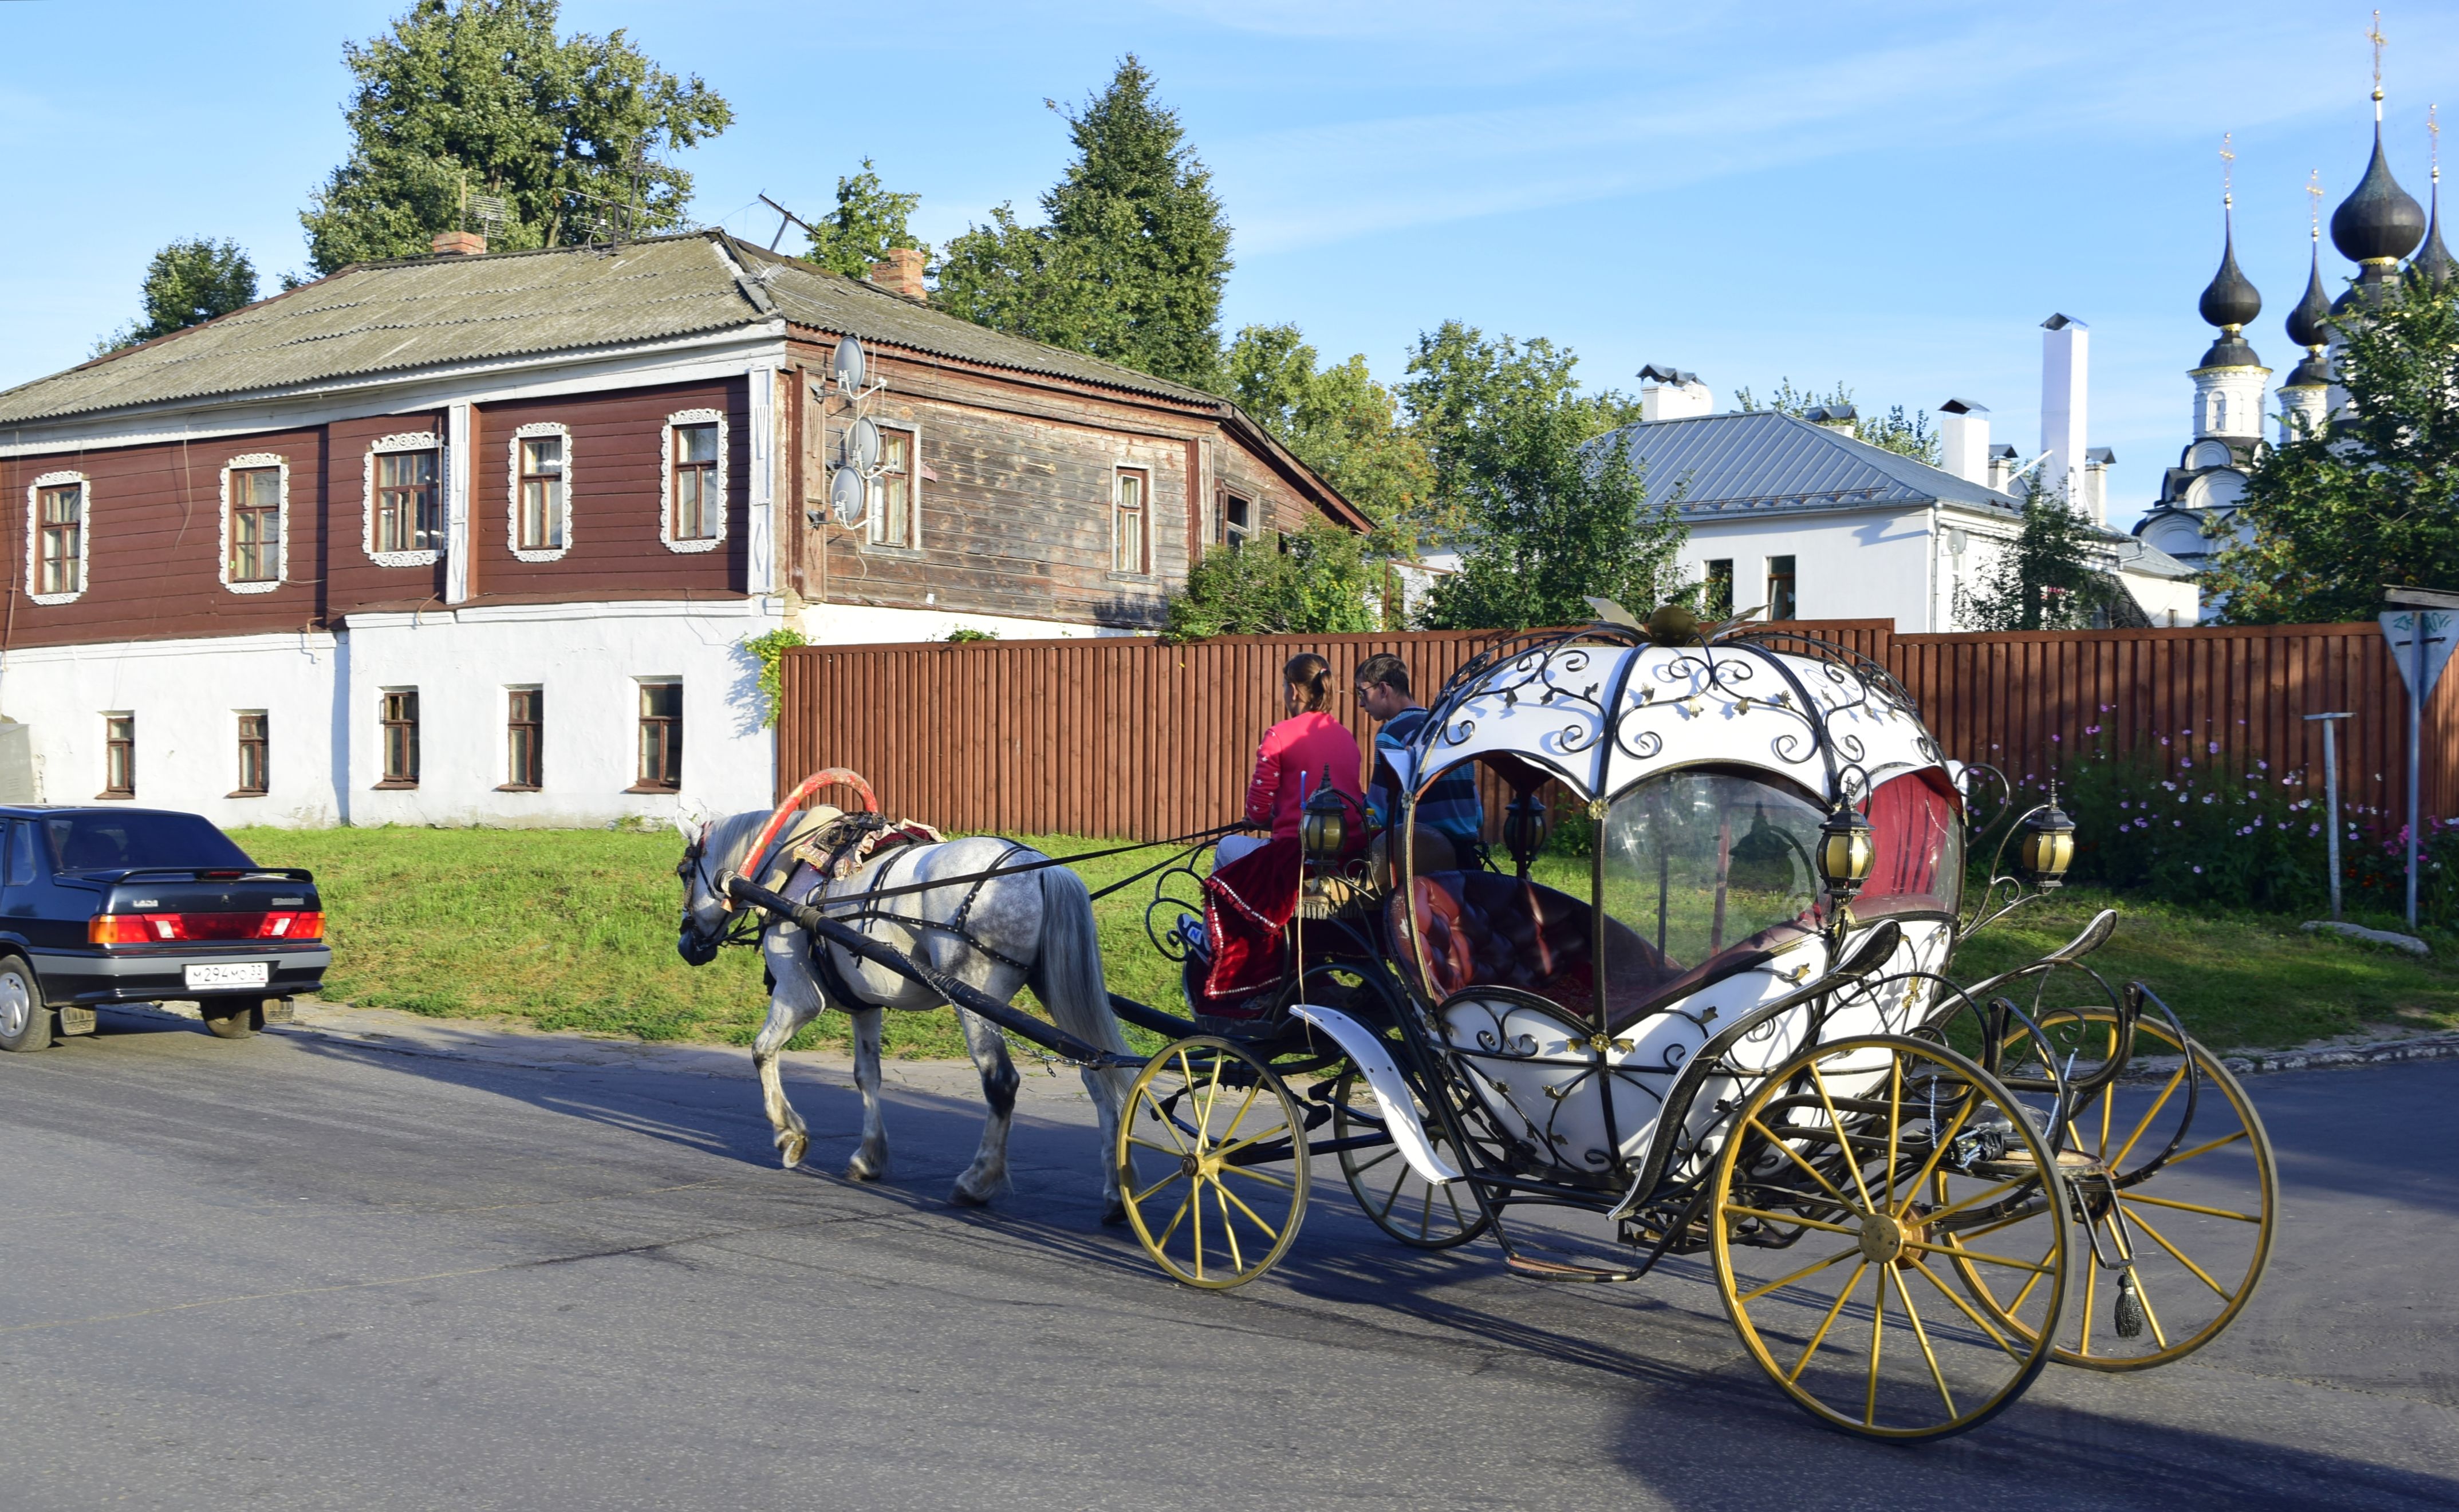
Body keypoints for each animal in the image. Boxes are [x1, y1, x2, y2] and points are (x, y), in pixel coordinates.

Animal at [668, 806, 1136, 1219]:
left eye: (684, 870)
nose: (686, 945)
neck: (789, 868)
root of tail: (1041, 868)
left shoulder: (796, 994)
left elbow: (762, 1051)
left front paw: (790, 1135)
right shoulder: (864, 1004)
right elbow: (867, 1075)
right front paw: (869, 1157)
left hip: (978, 1000)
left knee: (1001, 1083)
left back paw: (977, 1181)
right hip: (1053, 987)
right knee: (1097, 1076)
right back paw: (1115, 1192)